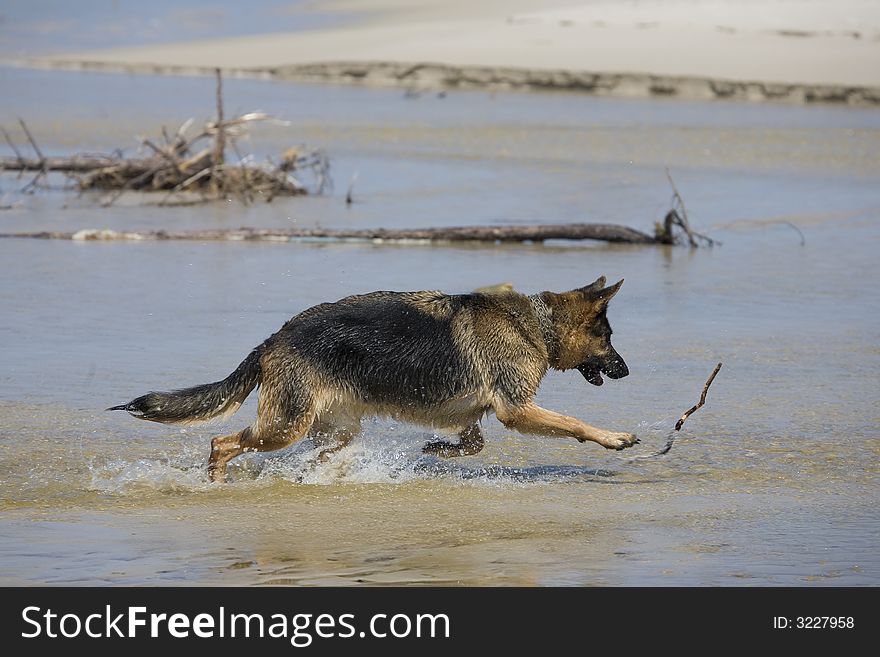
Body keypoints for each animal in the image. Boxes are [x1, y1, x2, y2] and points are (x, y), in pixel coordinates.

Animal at [110, 274, 636, 480]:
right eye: (609, 338)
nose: (627, 370)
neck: (537, 326)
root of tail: (274, 339)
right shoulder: (518, 410)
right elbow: (573, 423)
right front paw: (613, 438)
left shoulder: (475, 413)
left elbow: (472, 443)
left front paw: (437, 450)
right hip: (284, 426)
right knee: (222, 443)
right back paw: (216, 482)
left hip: (334, 429)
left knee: (317, 456)